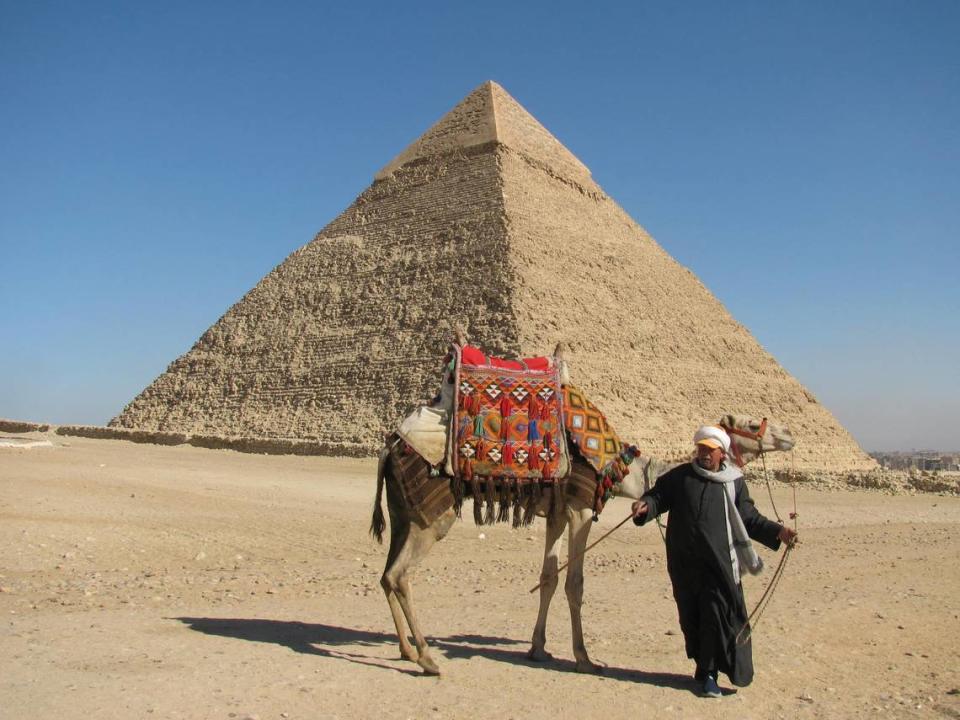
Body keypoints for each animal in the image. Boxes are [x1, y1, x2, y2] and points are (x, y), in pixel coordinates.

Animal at [368, 348, 796, 676]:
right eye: (753, 424)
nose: (789, 435)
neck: (619, 468)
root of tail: (390, 445)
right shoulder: (580, 509)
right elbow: (574, 584)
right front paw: (584, 658)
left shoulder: (557, 514)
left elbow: (548, 578)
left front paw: (538, 648)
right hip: (432, 515)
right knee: (400, 575)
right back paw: (427, 658)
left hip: (404, 513)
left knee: (387, 575)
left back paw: (407, 649)